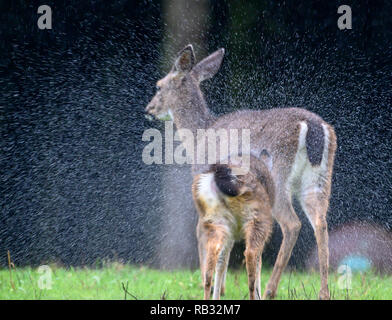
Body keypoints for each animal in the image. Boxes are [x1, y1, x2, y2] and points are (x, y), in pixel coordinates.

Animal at [145, 45, 336, 300]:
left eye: (159, 85)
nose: (149, 109)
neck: (198, 136)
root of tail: (314, 127)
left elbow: (208, 238)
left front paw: (214, 287)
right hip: (319, 179)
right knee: (320, 223)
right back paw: (323, 292)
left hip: (278, 174)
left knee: (292, 224)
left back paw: (271, 290)